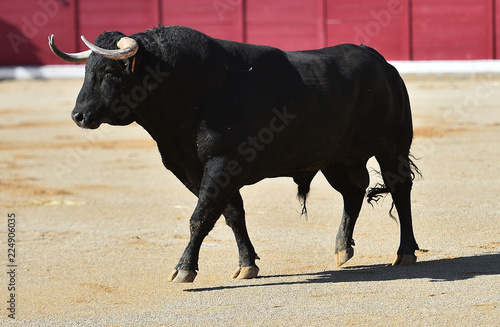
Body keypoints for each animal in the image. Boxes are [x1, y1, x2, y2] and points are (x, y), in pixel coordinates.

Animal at [48, 26, 420, 282]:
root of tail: (382, 63)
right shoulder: (195, 170)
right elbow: (230, 214)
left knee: (399, 189)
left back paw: (405, 253)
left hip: (391, 146)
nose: (79, 116)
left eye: (110, 72)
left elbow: (200, 217)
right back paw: (343, 248)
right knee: (353, 192)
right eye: (87, 71)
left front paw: (184, 269)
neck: (189, 88)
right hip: (336, 158)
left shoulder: (223, 163)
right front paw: (246, 264)